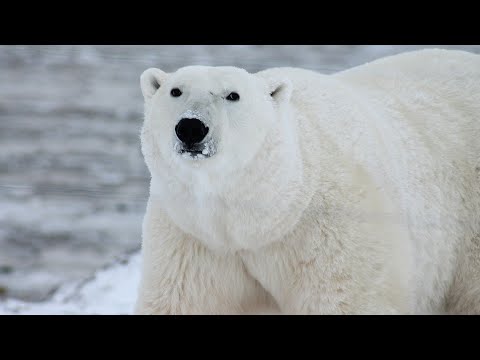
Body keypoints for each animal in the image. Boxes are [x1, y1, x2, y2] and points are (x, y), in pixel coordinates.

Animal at [134, 49, 480, 314]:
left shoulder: (331, 231)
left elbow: (346, 300)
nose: (191, 127)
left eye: (233, 95)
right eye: (175, 91)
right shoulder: (193, 237)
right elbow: (182, 301)